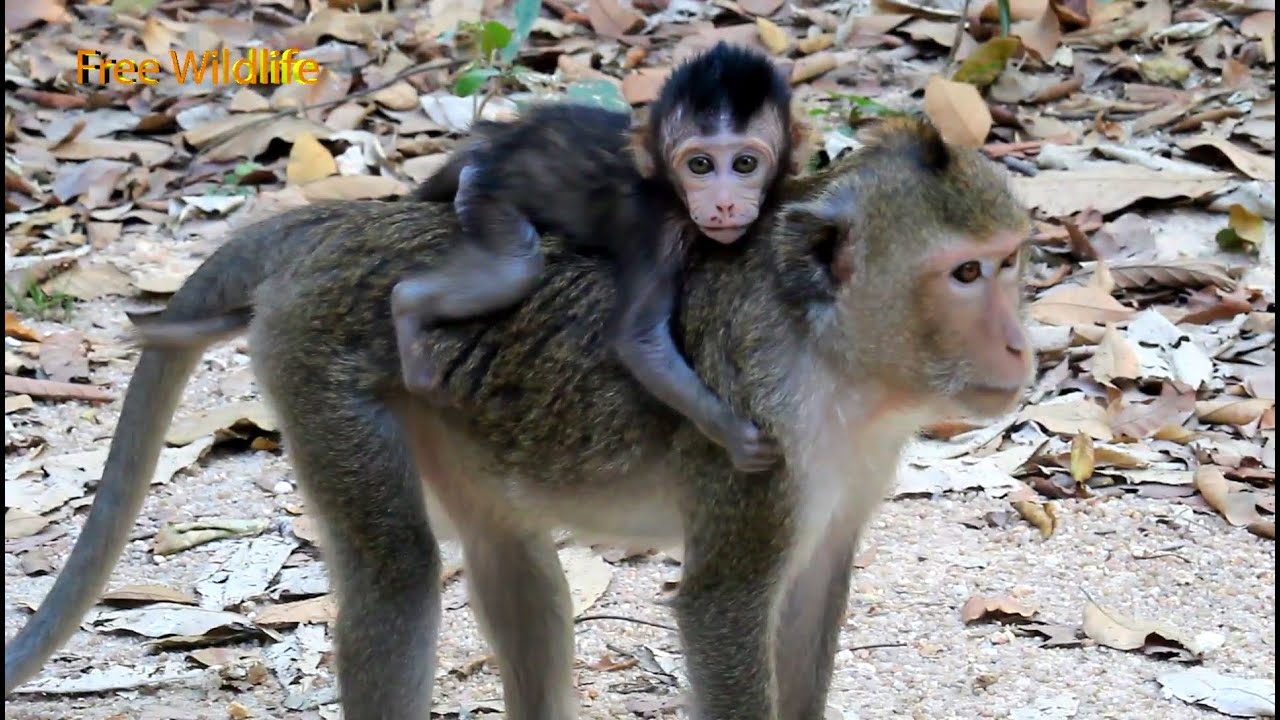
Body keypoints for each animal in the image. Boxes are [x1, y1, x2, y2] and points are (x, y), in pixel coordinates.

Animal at [5, 117, 1034, 720]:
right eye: (965, 274)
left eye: (1012, 259)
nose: (1023, 346)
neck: (833, 354)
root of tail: (340, 225)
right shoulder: (767, 442)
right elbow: (723, 610)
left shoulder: (851, 465)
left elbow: (810, 600)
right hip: (317, 365)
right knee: (398, 576)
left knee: (514, 566)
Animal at [392, 42, 806, 474]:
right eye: (700, 165)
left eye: (745, 163)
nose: (724, 205)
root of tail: (493, 147)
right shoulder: (657, 228)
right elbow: (639, 337)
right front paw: (735, 436)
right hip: (481, 195)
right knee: (515, 268)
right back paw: (408, 309)